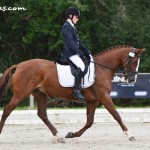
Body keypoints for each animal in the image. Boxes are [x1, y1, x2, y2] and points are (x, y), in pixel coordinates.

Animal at [0, 45, 144, 142]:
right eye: (135, 62)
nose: (132, 80)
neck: (101, 68)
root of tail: (19, 65)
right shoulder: (104, 97)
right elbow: (116, 115)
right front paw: (130, 134)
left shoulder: (93, 101)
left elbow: (89, 122)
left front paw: (72, 134)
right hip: (20, 94)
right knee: (7, 111)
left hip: (40, 94)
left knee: (42, 114)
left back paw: (58, 136)